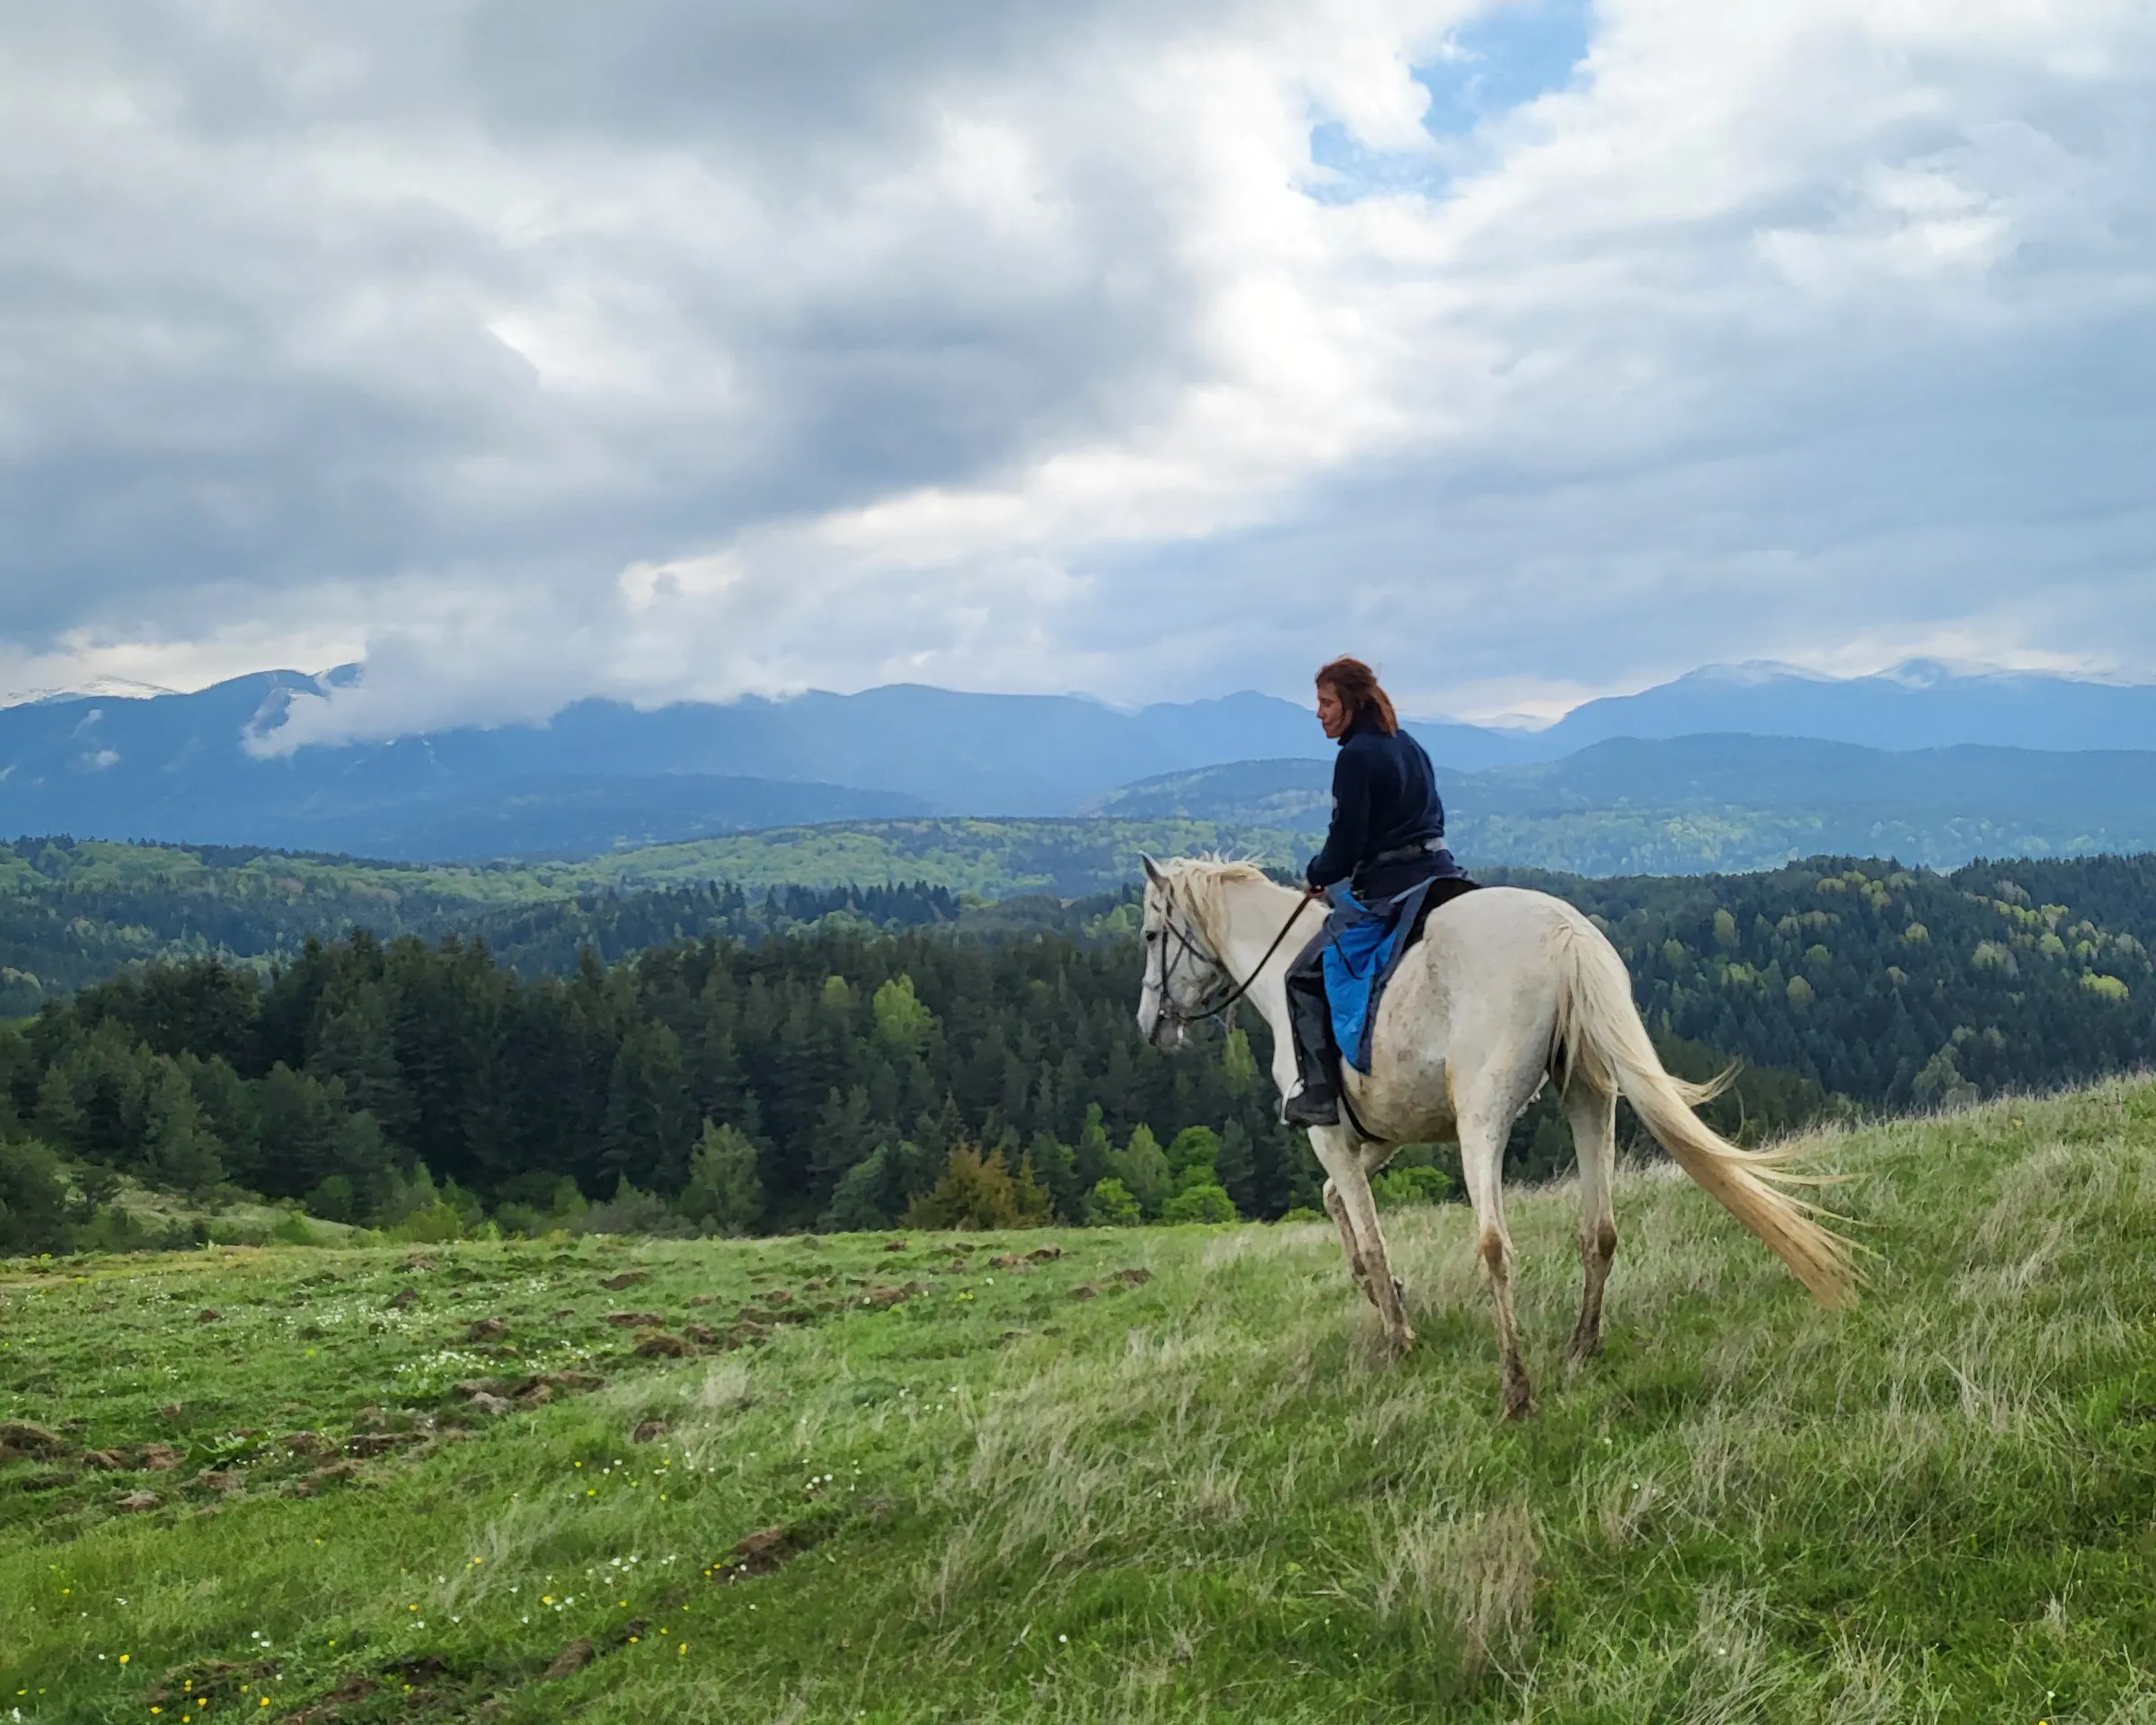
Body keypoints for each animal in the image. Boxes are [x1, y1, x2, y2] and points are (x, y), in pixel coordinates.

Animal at [1134, 856, 1856, 1418]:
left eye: (1149, 933)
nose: (1150, 1025)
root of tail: (1566, 934)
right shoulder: (1381, 1136)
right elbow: (1338, 1206)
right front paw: (1385, 1296)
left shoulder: (1332, 1136)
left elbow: (1368, 1235)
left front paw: (1397, 1335)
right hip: (1589, 1094)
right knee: (1599, 1230)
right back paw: (1581, 1347)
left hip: (1481, 1116)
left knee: (1494, 1245)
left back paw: (1517, 1390)